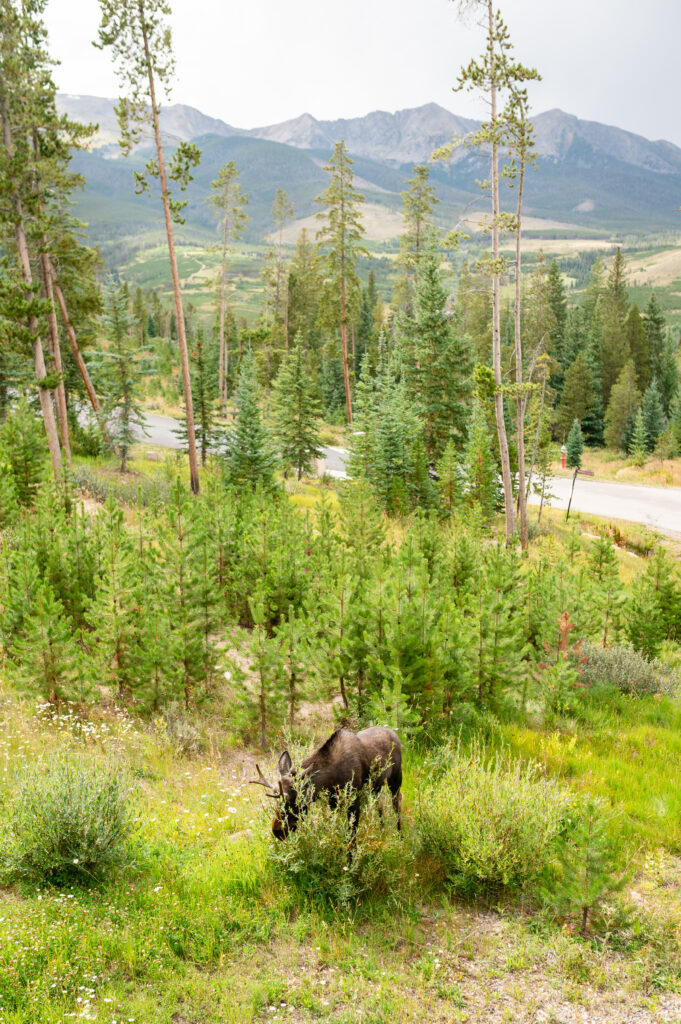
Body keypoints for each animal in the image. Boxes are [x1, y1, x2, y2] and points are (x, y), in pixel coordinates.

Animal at [249, 724, 401, 835]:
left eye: (293, 802)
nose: (277, 831)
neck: (330, 779)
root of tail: (394, 733)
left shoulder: (354, 799)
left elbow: (351, 839)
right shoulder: (332, 800)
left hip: (396, 779)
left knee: (397, 804)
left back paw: (400, 836)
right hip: (376, 787)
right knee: (380, 806)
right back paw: (382, 830)